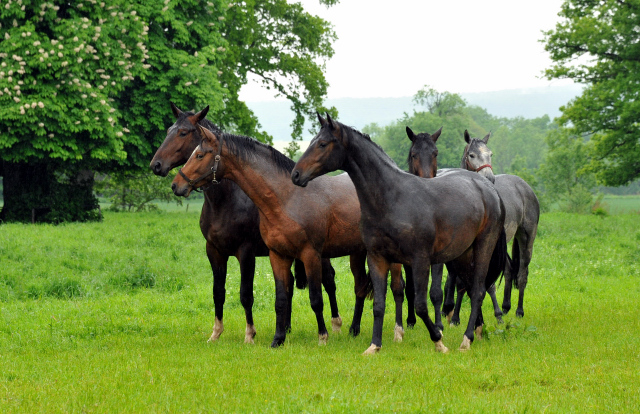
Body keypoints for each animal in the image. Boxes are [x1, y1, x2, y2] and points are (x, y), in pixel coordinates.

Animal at [150, 102, 342, 342]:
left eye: (183, 132)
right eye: (169, 130)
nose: (156, 165)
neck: (226, 201)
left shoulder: (246, 253)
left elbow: (245, 295)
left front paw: (250, 334)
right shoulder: (214, 251)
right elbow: (218, 292)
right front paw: (216, 333)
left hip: (318, 253)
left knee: (328, 279)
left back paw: (335, 324)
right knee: (288, 284)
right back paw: (286, 327)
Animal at [171, 121, 404, 348]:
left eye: (200, 155)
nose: (176, 185)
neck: (286, 198)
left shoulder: (308, 255)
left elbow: (315, 299)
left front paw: (322, 337)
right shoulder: (277, 255)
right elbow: (280, 298)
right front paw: (278, 339)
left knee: (396, 289)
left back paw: (397, 332)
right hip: (357, 253)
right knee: (360, 287)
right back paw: (354, 329)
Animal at [460, 129, 540, 316]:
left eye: (490, 154)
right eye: (472, 155)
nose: (490, 178)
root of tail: (525, 187)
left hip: (526, 238)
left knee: (522, 273)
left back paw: (518, 311)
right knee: (510, 269)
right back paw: (505, 306)